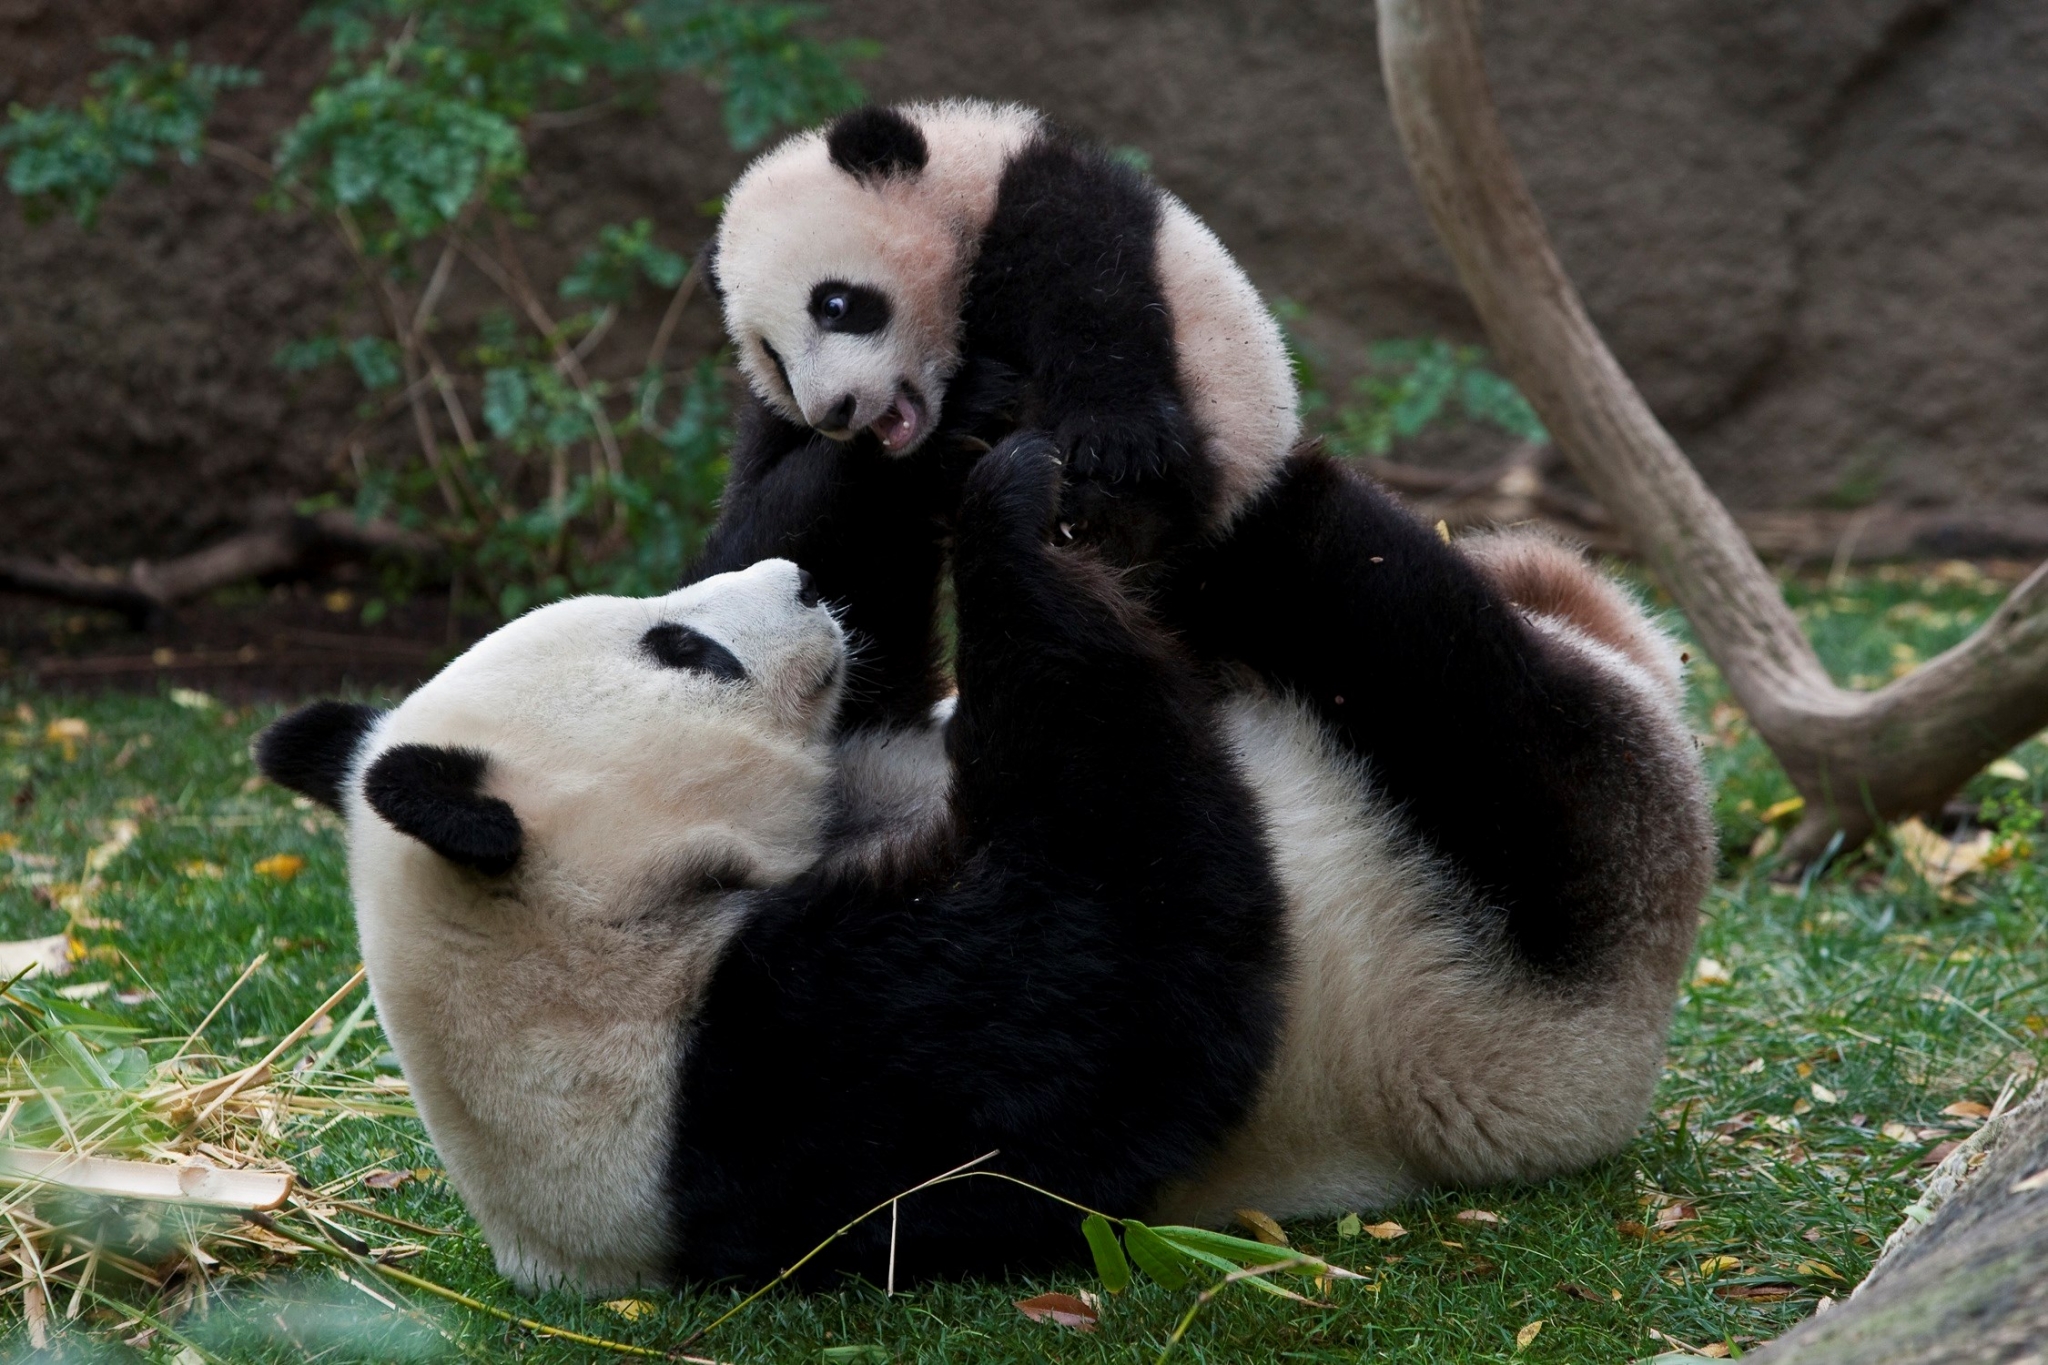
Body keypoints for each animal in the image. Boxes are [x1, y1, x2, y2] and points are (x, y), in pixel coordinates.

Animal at [692, 104, 1714, 1224]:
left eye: (839, 303)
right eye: (770, 351)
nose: (837, 411)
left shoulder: (1064, 221)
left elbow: (1100, 313)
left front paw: (1093, 443)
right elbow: (771, 544)